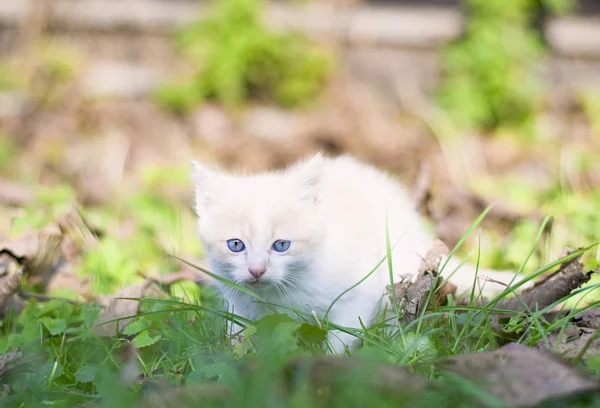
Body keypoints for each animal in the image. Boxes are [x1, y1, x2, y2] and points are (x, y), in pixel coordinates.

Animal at [193, 153, 524, 354]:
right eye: (236, 245)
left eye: (281, 245)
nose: (257, 270)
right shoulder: (238, 302)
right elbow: (240, 333)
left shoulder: (358, 291)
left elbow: (343, 335)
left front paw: (332, 362)